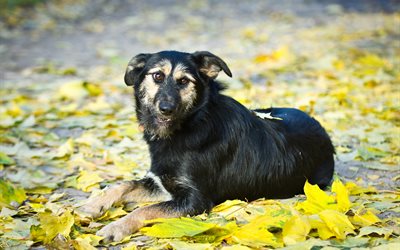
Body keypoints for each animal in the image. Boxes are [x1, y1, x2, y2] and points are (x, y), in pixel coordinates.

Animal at [79, 50, 334, 240]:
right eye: (157, 76)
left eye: (184, 81)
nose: (166, 109)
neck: (191, 124)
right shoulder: (162, 183)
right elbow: (122, 185)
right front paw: (93, 205)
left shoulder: (195, 200)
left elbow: (146, 209)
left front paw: (115, 227)